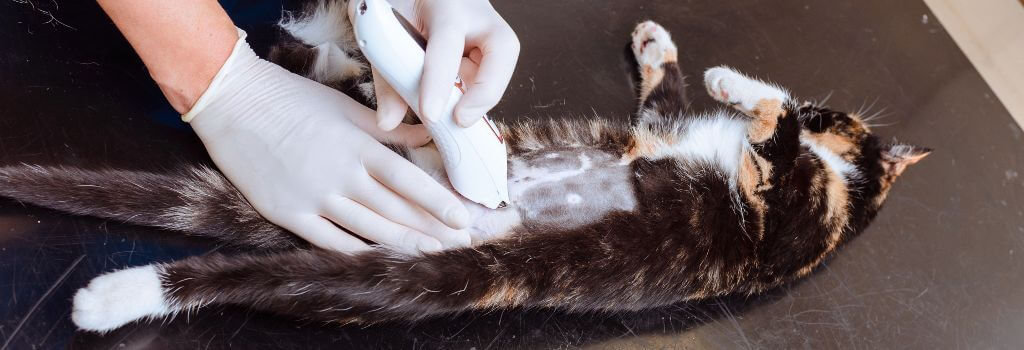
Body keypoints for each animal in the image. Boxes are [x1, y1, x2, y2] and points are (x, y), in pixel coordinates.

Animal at [0, 6, 929, 333]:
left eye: (844, 124)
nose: (832, 118)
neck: (854, 193)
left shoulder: (794, 221)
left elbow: (779, 145)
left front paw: (745, 92)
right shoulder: (659, 132)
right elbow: (671, 94)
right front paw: (677, 53)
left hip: (406, 282)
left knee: (241, 277)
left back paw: (113, 297)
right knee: (317, 71)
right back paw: (344, 38)